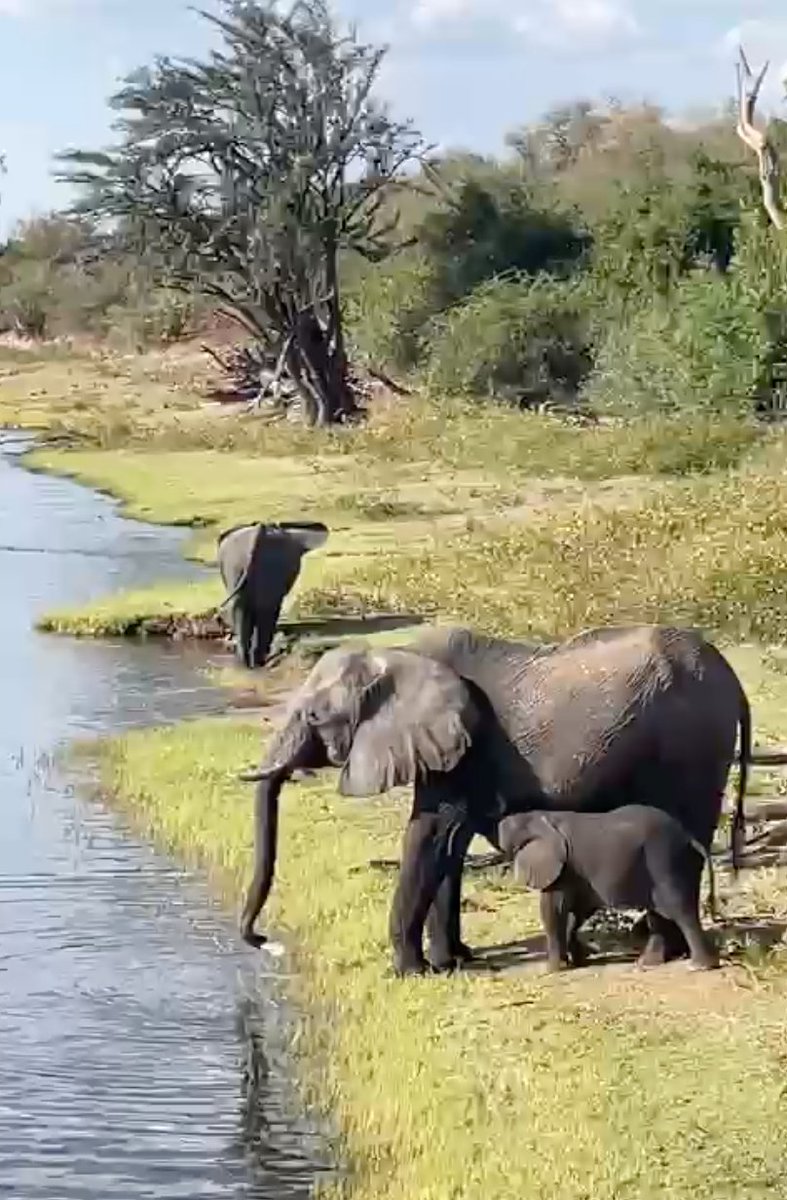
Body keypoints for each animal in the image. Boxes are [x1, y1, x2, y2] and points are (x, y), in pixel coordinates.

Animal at [216, 521, 329, 668]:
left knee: (244, 608)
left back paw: (249, 662)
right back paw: (255, 661)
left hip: (237, 565)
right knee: (263, 610)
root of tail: (258, 533)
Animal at [497, 806, 718, 973]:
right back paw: (646, 965)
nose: (499, 823)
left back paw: (698, 967)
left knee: (680, 912)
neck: (540, 818)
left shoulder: (561, 867)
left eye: (508, 834)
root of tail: (689, 837)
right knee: (659, 915)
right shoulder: (577, 871)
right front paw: (578, 961)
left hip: (665, 861)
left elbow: (553, 910)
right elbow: (577, 912)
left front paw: (551, 970)